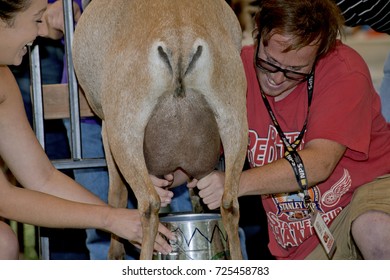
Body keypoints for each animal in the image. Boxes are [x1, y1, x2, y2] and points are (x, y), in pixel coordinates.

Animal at [72, 0, 248, 260]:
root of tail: (179, 41)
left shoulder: (106, 127)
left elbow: (117, 193)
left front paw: (115, 252)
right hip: (233, 116)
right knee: (230, 204)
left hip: (125, 127)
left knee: (148, 205)